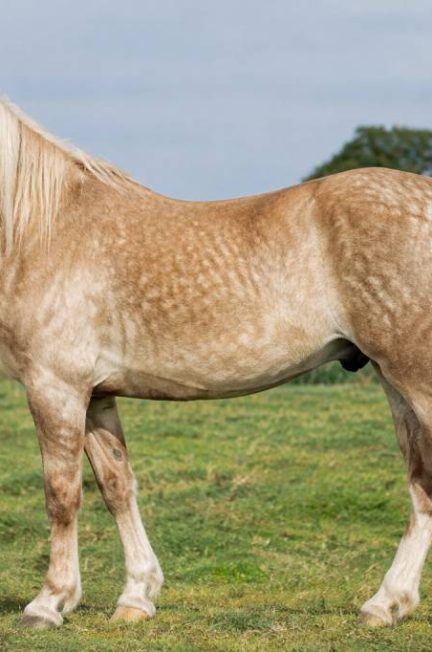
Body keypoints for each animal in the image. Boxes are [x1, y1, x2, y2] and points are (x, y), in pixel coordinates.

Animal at [0, 98, 431, 630]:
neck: (41, 228)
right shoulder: (95, 393)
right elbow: (117, 486)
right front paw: (136, 596)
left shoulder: (55, 386)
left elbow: (61, 494)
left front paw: (48, 603)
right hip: (395, 381)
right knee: (421, 486)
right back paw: (386, 603)